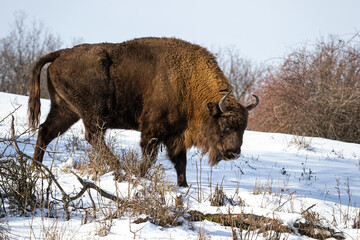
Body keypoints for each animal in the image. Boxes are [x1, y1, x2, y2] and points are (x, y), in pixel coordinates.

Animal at [28, 38, 258, 188]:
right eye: (225, 125)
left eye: (244, 128)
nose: (234, 153)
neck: (188, 84)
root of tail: (61, 53)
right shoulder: (153, 131)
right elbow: (149, 158)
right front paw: (139, 176)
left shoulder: (176, 135)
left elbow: (180, 163)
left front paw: (183, 186)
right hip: (93, 114)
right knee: (93, 136)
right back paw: (119, 167)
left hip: (65, 110)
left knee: (46, 131)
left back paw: (35, 168)